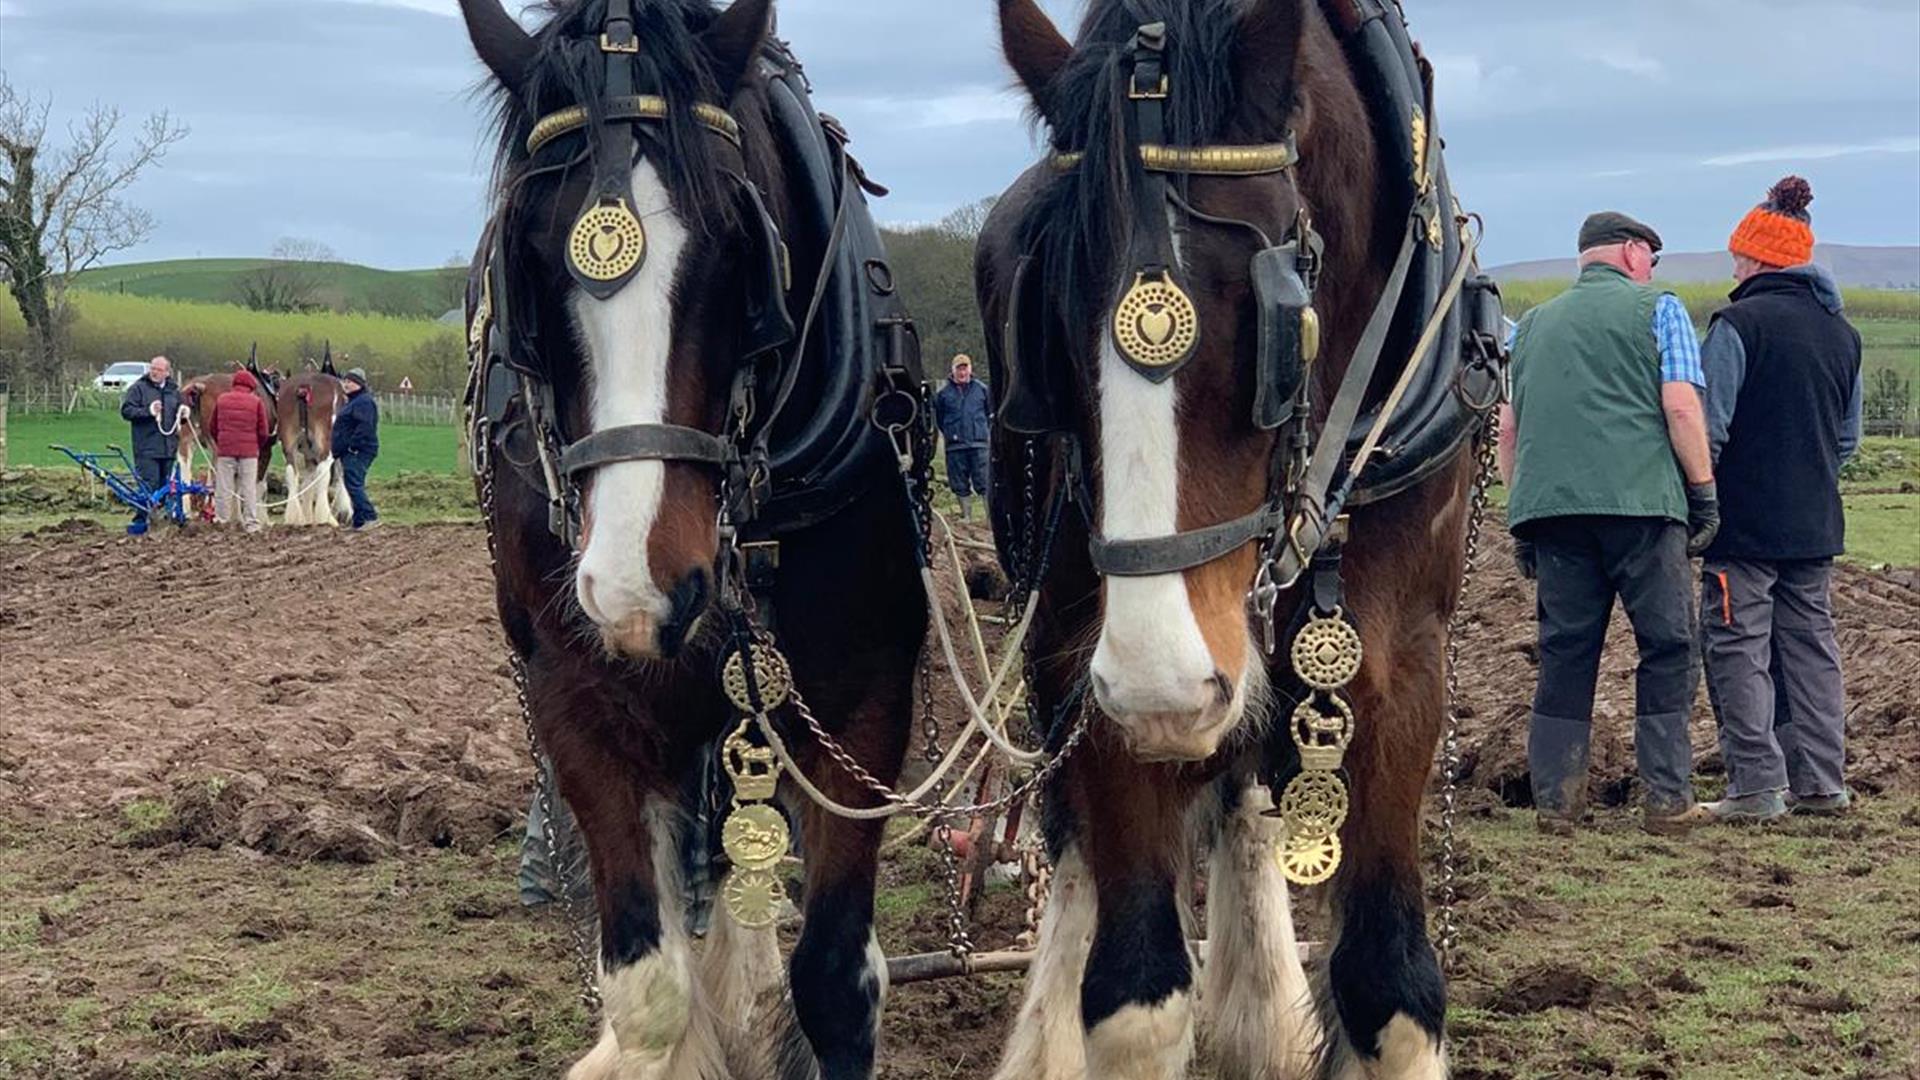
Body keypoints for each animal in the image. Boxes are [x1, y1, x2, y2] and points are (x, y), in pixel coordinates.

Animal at [456, 2, 921, 1076]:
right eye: (526, 253)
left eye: (736, 248)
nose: (639, 588)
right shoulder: (578, 696)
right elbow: (650, 990)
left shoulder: (866, 696)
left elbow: (837, 982)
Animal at [975, 2, 1466, 1076]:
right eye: (1049, 310)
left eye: (1271, 316)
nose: (1163, 688)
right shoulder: (1092, 663)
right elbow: (1133, 995)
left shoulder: (1403, 666)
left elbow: (1391, 988)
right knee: (1077, 845)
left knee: (1245, 792)